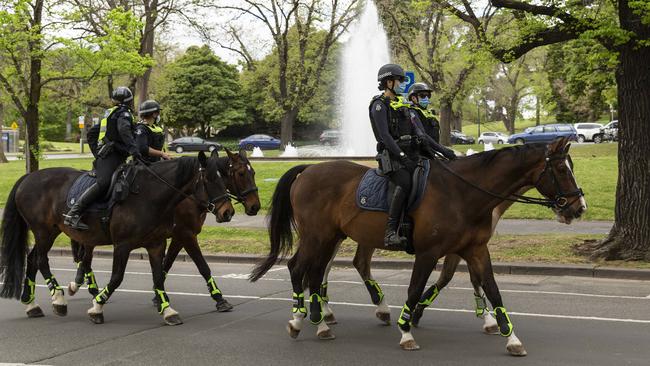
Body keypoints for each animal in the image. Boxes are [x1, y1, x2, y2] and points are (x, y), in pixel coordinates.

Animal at [0, 152, 233, 326]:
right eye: (210, 179)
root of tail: (28, 177)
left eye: (226, 177)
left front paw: (168, 310)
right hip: (44, 231)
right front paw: (97, 307)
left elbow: (158, 277)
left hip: (49, 232)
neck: (149, 195)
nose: (228, 212)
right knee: (40, 260)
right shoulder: (123, 245)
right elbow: (117, 277)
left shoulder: (156, 244)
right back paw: (58, 299)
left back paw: (31, 304)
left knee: (33, 260)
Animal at [66, 149, 258, 312]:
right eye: (241, 173)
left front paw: (158, 296)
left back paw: (85, 287)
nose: (255, 206)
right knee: (84, 258)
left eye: (253, 173)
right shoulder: (185, 235)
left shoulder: (176, 237)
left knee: (85, 258)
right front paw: (219, 299)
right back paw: (83, 287)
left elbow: (166, 264)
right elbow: (202, 266)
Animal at [249, 137, 584, 354]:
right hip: (317, 236)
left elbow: (490, 288)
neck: (463, 193)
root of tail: (308, 169)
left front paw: (509, 337)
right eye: (562, 170)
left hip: (329, 237)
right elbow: (415, 288)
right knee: (299, 268)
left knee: (318, 273)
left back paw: (321, 323)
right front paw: (406, 330)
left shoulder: (475, 250)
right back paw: (299, 320)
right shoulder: (428, 253)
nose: (578, 207)